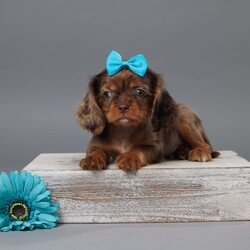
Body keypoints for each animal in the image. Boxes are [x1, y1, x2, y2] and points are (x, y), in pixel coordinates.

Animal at [76, 67, 219, 171]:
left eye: (139, 92)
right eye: (107, 94)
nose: (123, 107)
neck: (124, 129)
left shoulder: (154, 147)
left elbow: (139, 148)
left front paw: (129, 156)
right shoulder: (95, 144)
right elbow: (95, 150)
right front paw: (92, 159)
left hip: (184, 119)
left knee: (204, 144)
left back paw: (198, 152)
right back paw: (181, 152)